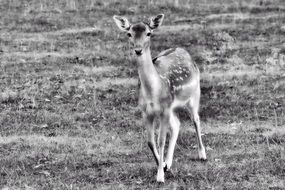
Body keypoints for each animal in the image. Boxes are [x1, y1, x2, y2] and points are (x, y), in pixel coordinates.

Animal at [112, 13, 205, 183]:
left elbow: (161, 140)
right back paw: (168, 162)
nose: (138, 50)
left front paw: (160, 176)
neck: (153, 93)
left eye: (149, 33)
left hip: (194, 95)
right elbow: (150, 141)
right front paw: (163, 166)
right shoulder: (146, 112)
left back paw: (202, 155)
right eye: (129, 34)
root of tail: (183, 50)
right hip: (173, 107)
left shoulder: (165, 110)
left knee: (195, 119)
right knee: (177, 124)